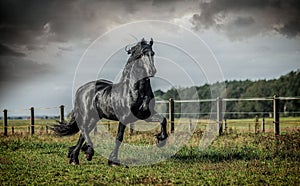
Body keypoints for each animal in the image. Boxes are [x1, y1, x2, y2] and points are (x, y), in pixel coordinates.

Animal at [51, 38, 169, 166]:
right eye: (142, 54)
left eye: (153, 53)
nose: (152, 71)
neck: (135, 90)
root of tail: (82, 89)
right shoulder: (124, 118)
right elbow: (119, 137)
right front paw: (113, 161)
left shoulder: (146, 115)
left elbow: (163, 120)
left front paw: (161, 140)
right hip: (87, 115)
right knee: (84, 130)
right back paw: (87, 152)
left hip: (94, 118)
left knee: (83, 134)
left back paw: (75, 157)